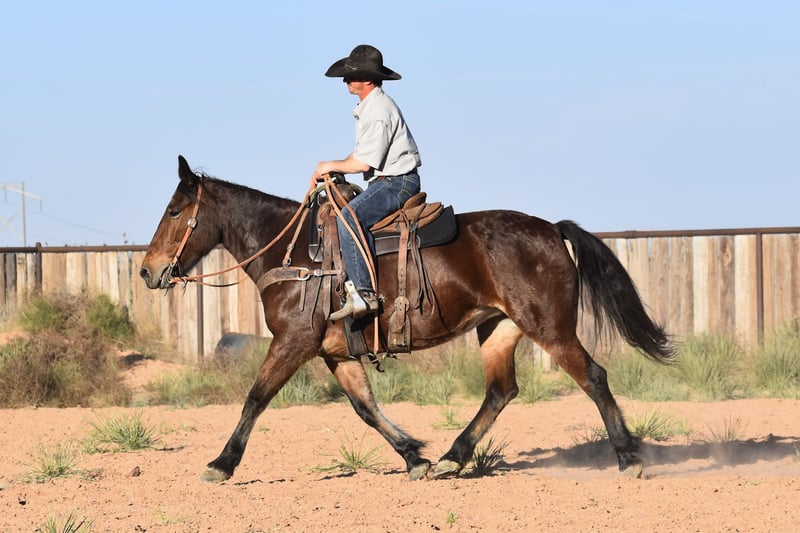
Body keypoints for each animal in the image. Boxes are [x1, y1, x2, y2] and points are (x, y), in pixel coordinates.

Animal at [140, 155, 674, 483]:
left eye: (174, 210)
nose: (147, 271)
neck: (296, 256)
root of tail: (552, 230)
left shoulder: (293, 342)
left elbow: (256, 398)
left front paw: (221, 464)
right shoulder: (336, 353)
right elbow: (365, 408)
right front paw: (415, 456)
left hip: (550, 327)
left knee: (593, 376)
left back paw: (628, 458)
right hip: (498, 327)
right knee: (501, 391)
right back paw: (452, 458)